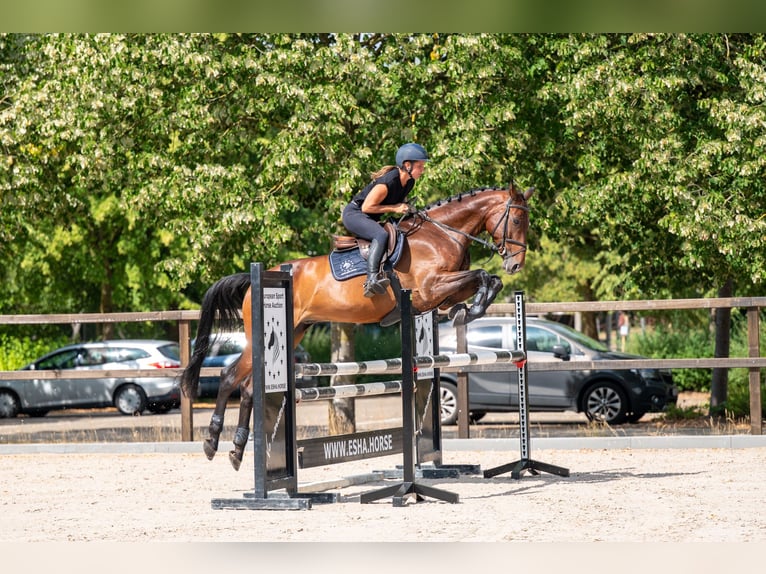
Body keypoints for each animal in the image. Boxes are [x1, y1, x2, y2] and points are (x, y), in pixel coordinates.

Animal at [181, 181, 534, 470]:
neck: (441, 234)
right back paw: (217, 443)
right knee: (235, 380)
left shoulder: (439, 296)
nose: (516, 264)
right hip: (265, 337)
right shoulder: (431, 288)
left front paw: (468, 309)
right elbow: (482, 275)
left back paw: (232, 449)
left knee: (244, 385)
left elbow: (488, 280)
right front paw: (471, 309)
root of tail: (257, 278)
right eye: (517, 220)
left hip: (294, 332)